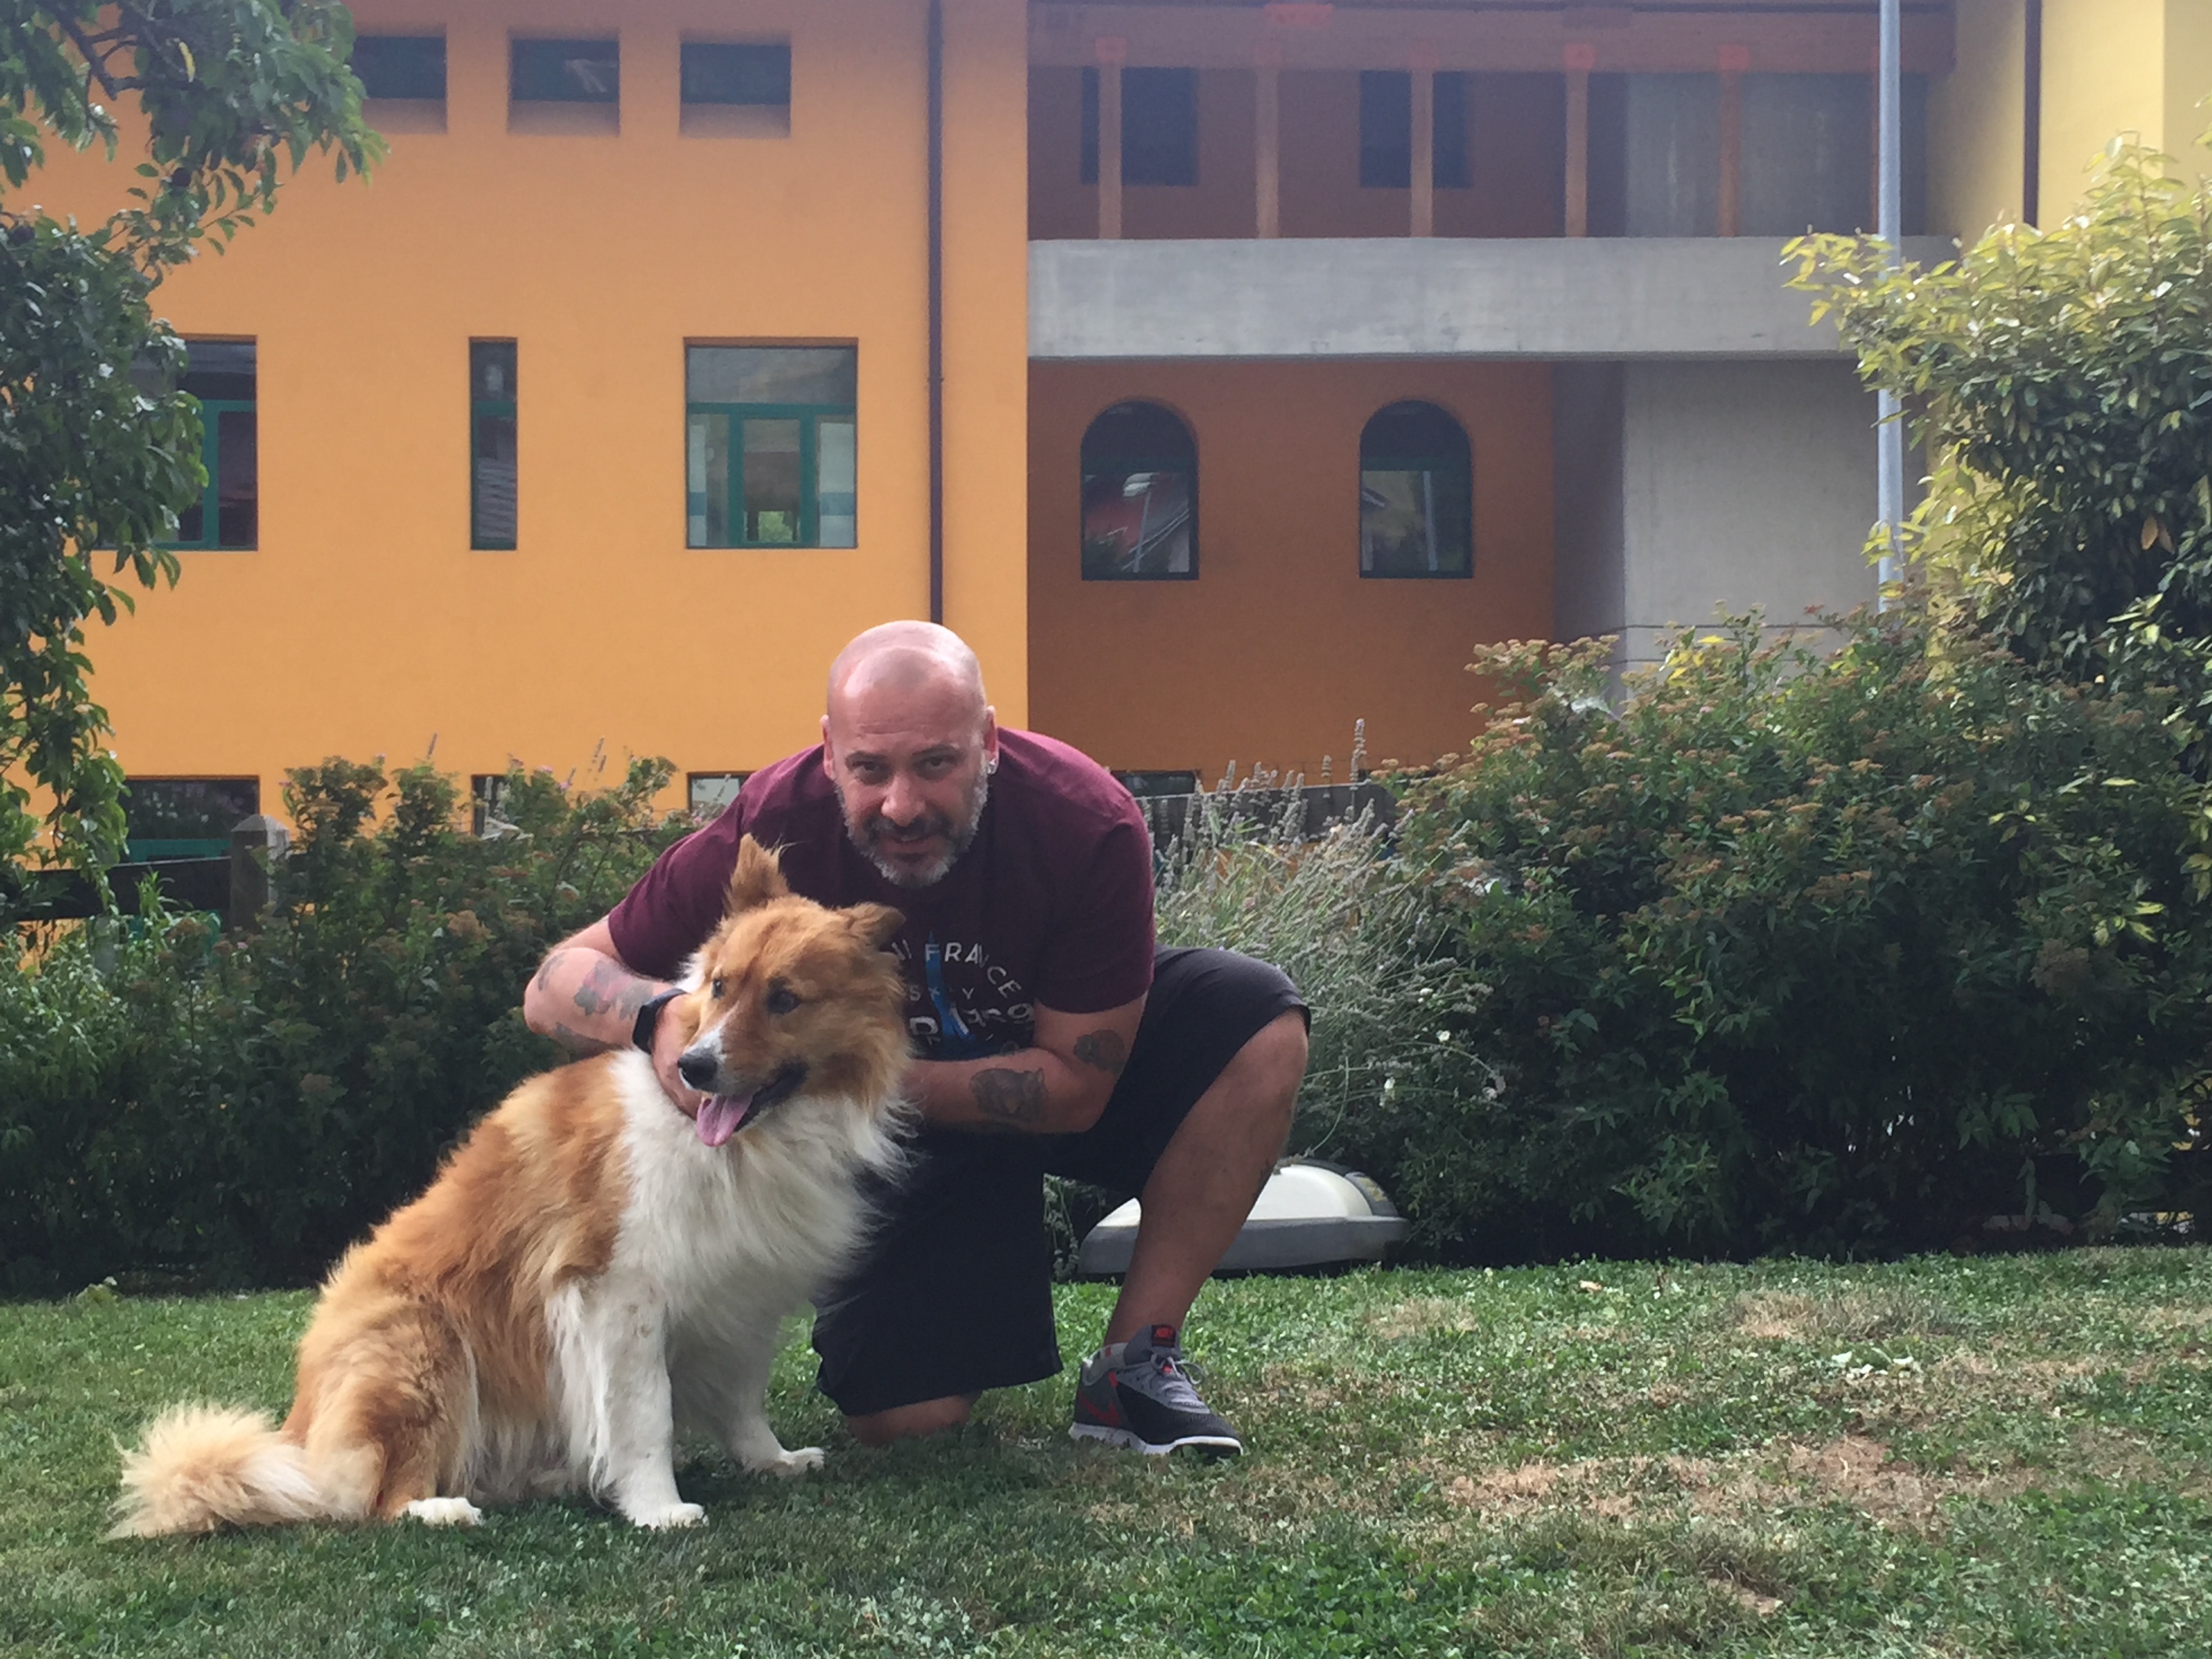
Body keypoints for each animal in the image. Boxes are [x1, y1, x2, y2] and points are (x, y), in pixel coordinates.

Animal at [113, 836, 909, 1535]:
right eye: (720, 987)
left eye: (785, 999)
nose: (695, 1067)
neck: (743, 1141)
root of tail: (299, 1434)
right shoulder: (618, 1294)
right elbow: (642, 1413)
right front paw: (657, 1508)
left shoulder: (743, 1294)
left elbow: (743, 1400)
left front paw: (770, 1460)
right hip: (426, 1350)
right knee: (374, 1499)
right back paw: (440, 1509)